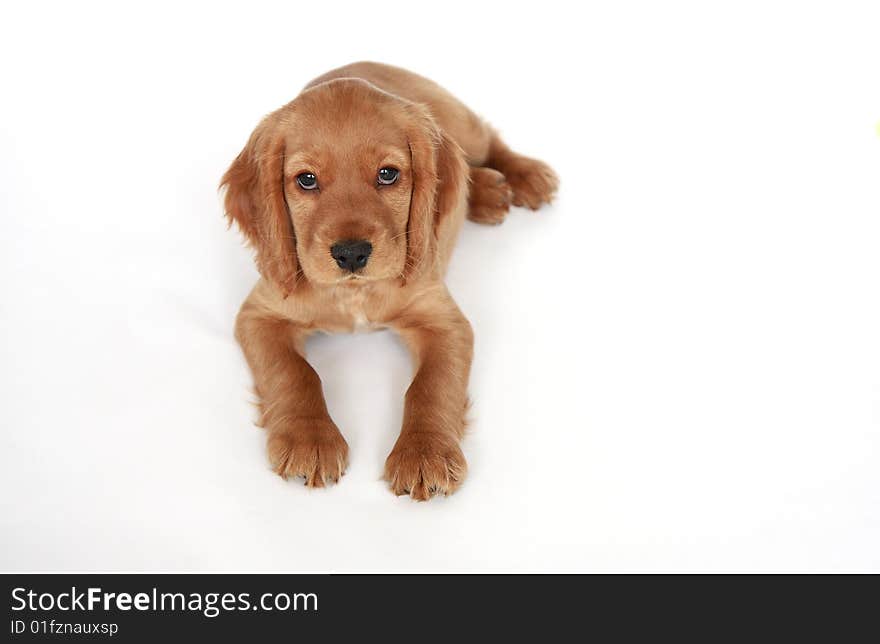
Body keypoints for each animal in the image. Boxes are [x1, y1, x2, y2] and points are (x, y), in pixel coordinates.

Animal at [223, 63, 560, 500]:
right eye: (306, 180)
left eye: (387, 174)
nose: (351, 253)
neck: (354, 293)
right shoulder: (259, 314)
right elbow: (294, 372)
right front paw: (308, 439)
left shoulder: (443, 319)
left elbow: (431, 386)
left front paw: (425, 453)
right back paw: (488, 192)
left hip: (462, 122)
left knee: (488, 138)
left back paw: (526, 176)